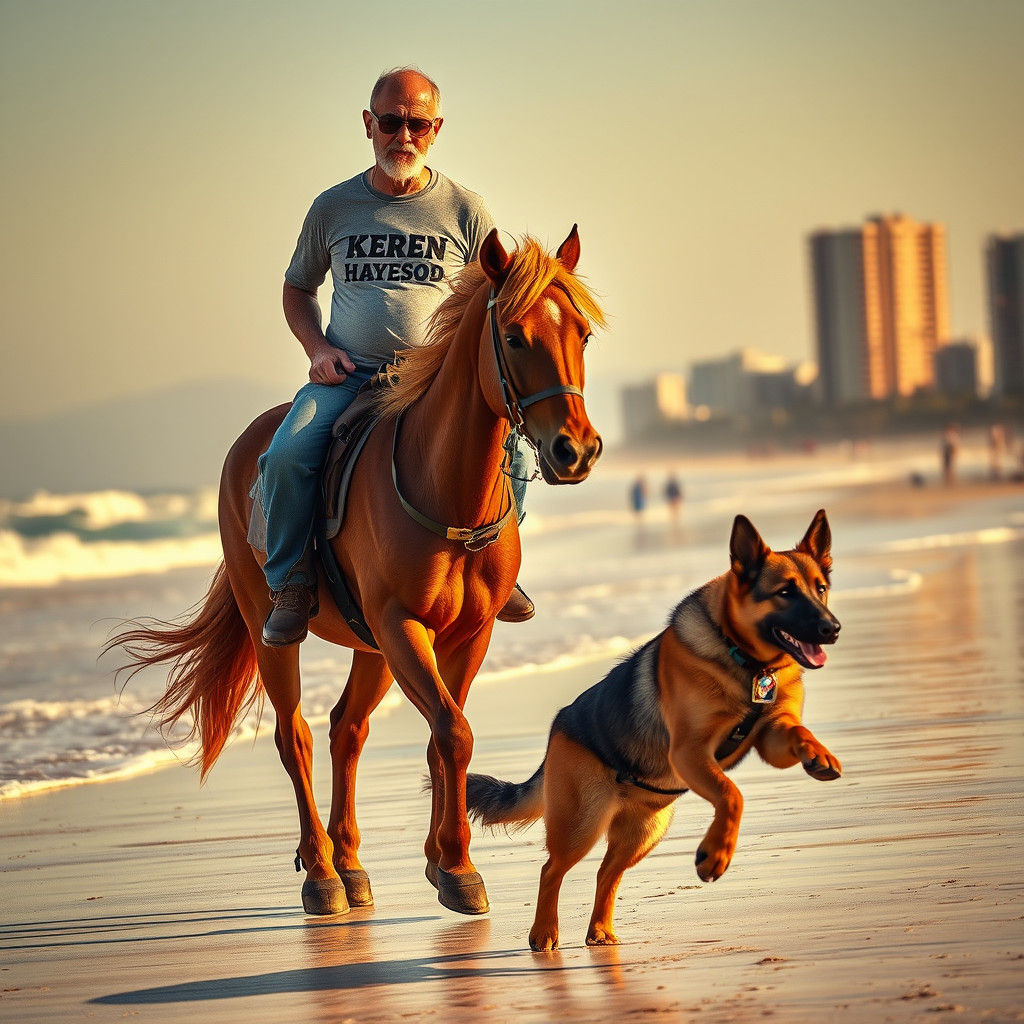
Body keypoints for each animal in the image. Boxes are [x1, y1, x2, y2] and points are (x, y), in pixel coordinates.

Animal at [108, 226, 606, 919]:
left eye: (581, 334)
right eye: (513, 336)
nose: (575, 450)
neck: (444, 486)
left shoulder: (467, 634)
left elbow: (444, 734)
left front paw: (443, 860)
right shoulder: (402, 626)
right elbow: (452, 732)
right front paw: (457, 867)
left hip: (370, 647)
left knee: (347, 729)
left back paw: (350, 865)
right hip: (276, 629)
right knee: (296, 736)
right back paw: (321, 875)